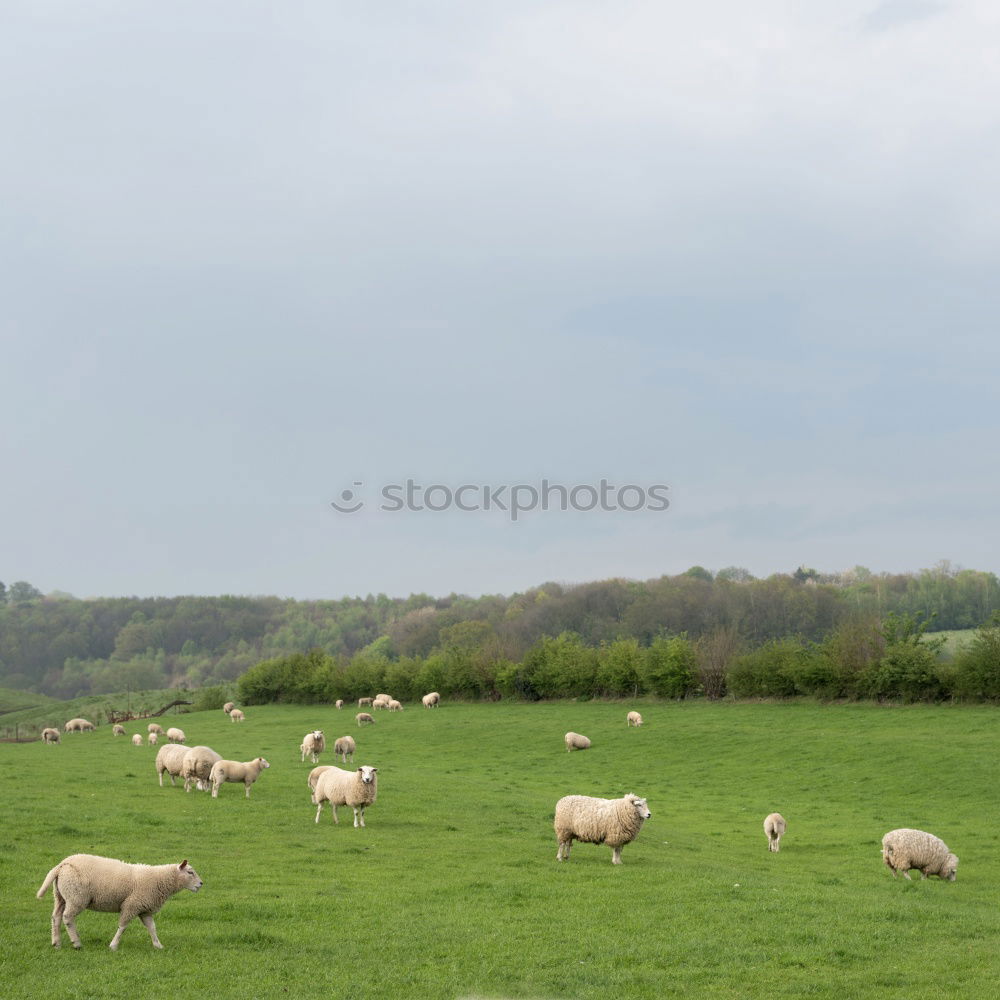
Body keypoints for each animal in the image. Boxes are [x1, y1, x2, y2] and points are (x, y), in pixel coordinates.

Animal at [35, 852, 203, 952]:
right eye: (190, 872)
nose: (201, 884)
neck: (159, 879)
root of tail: (61, 865)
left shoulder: (145, 909)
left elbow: (152, 928)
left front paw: (158, 945)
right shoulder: (132, 904)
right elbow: (122, 926)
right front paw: (113, 945)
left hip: (61, 896)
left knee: (56, 917)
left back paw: (56, 943)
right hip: (76, 897)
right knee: (67, 918)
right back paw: (76, 943)